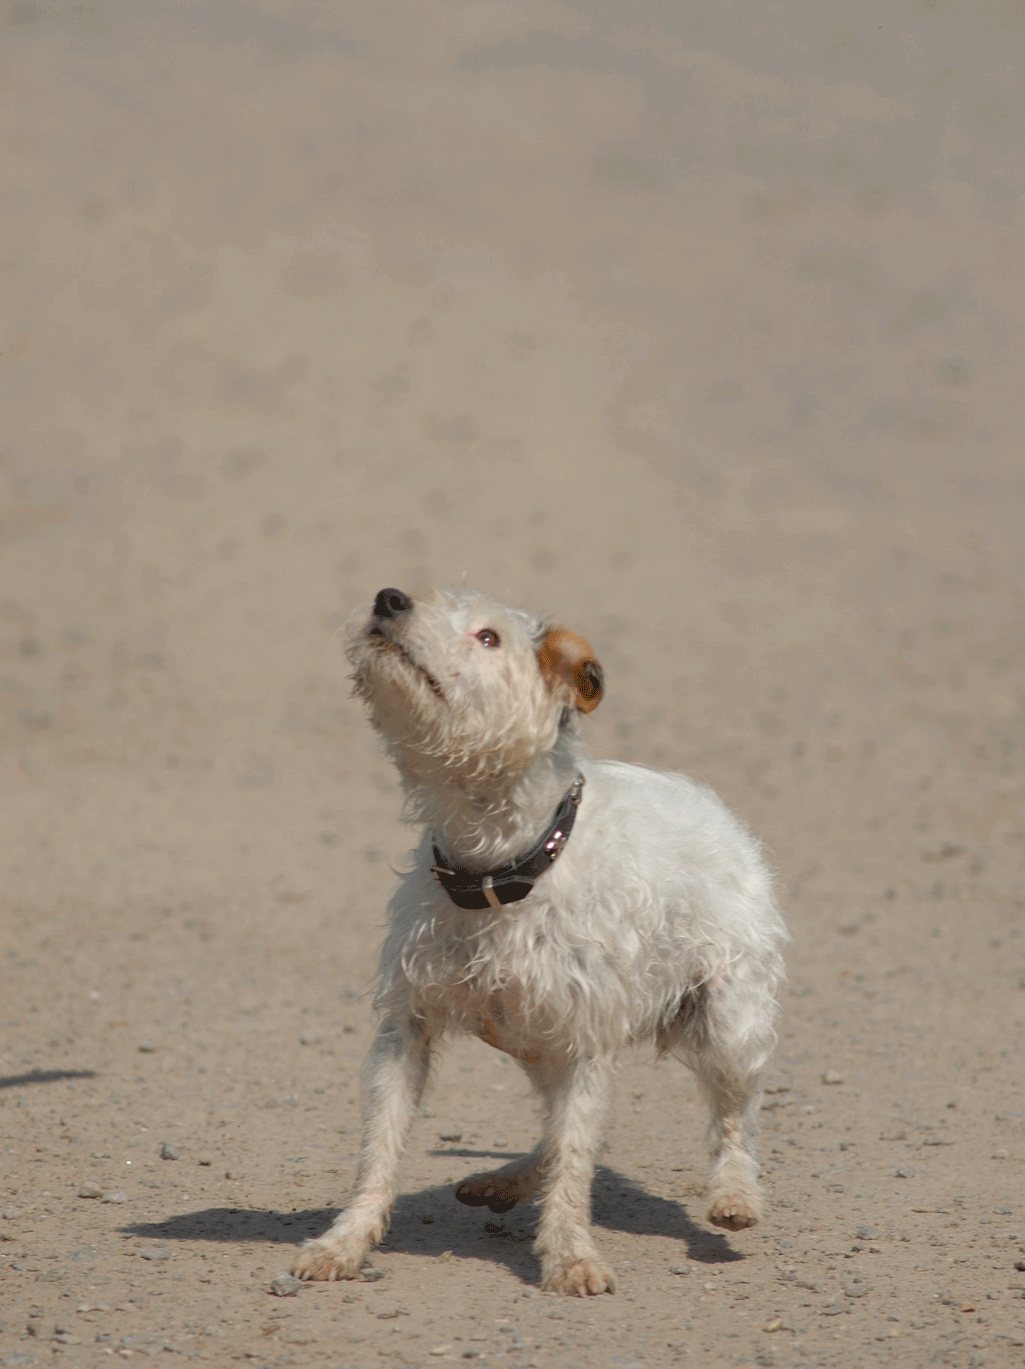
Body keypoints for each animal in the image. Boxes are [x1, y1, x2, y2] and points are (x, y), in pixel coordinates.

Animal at [293, 586, 787, 1295]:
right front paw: (344, 1243)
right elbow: (379, 1150)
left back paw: (734, 1194)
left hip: (730, 1023)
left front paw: (571, 1254)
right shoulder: (407, 1029)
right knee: (562, 1132)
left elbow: (576, 1159)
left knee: (733, 1118)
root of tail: (708, 802)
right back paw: (507, 1181)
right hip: (532, 1041)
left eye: (488, 637)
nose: (389, 598)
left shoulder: (585, 1042)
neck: (500, 865)